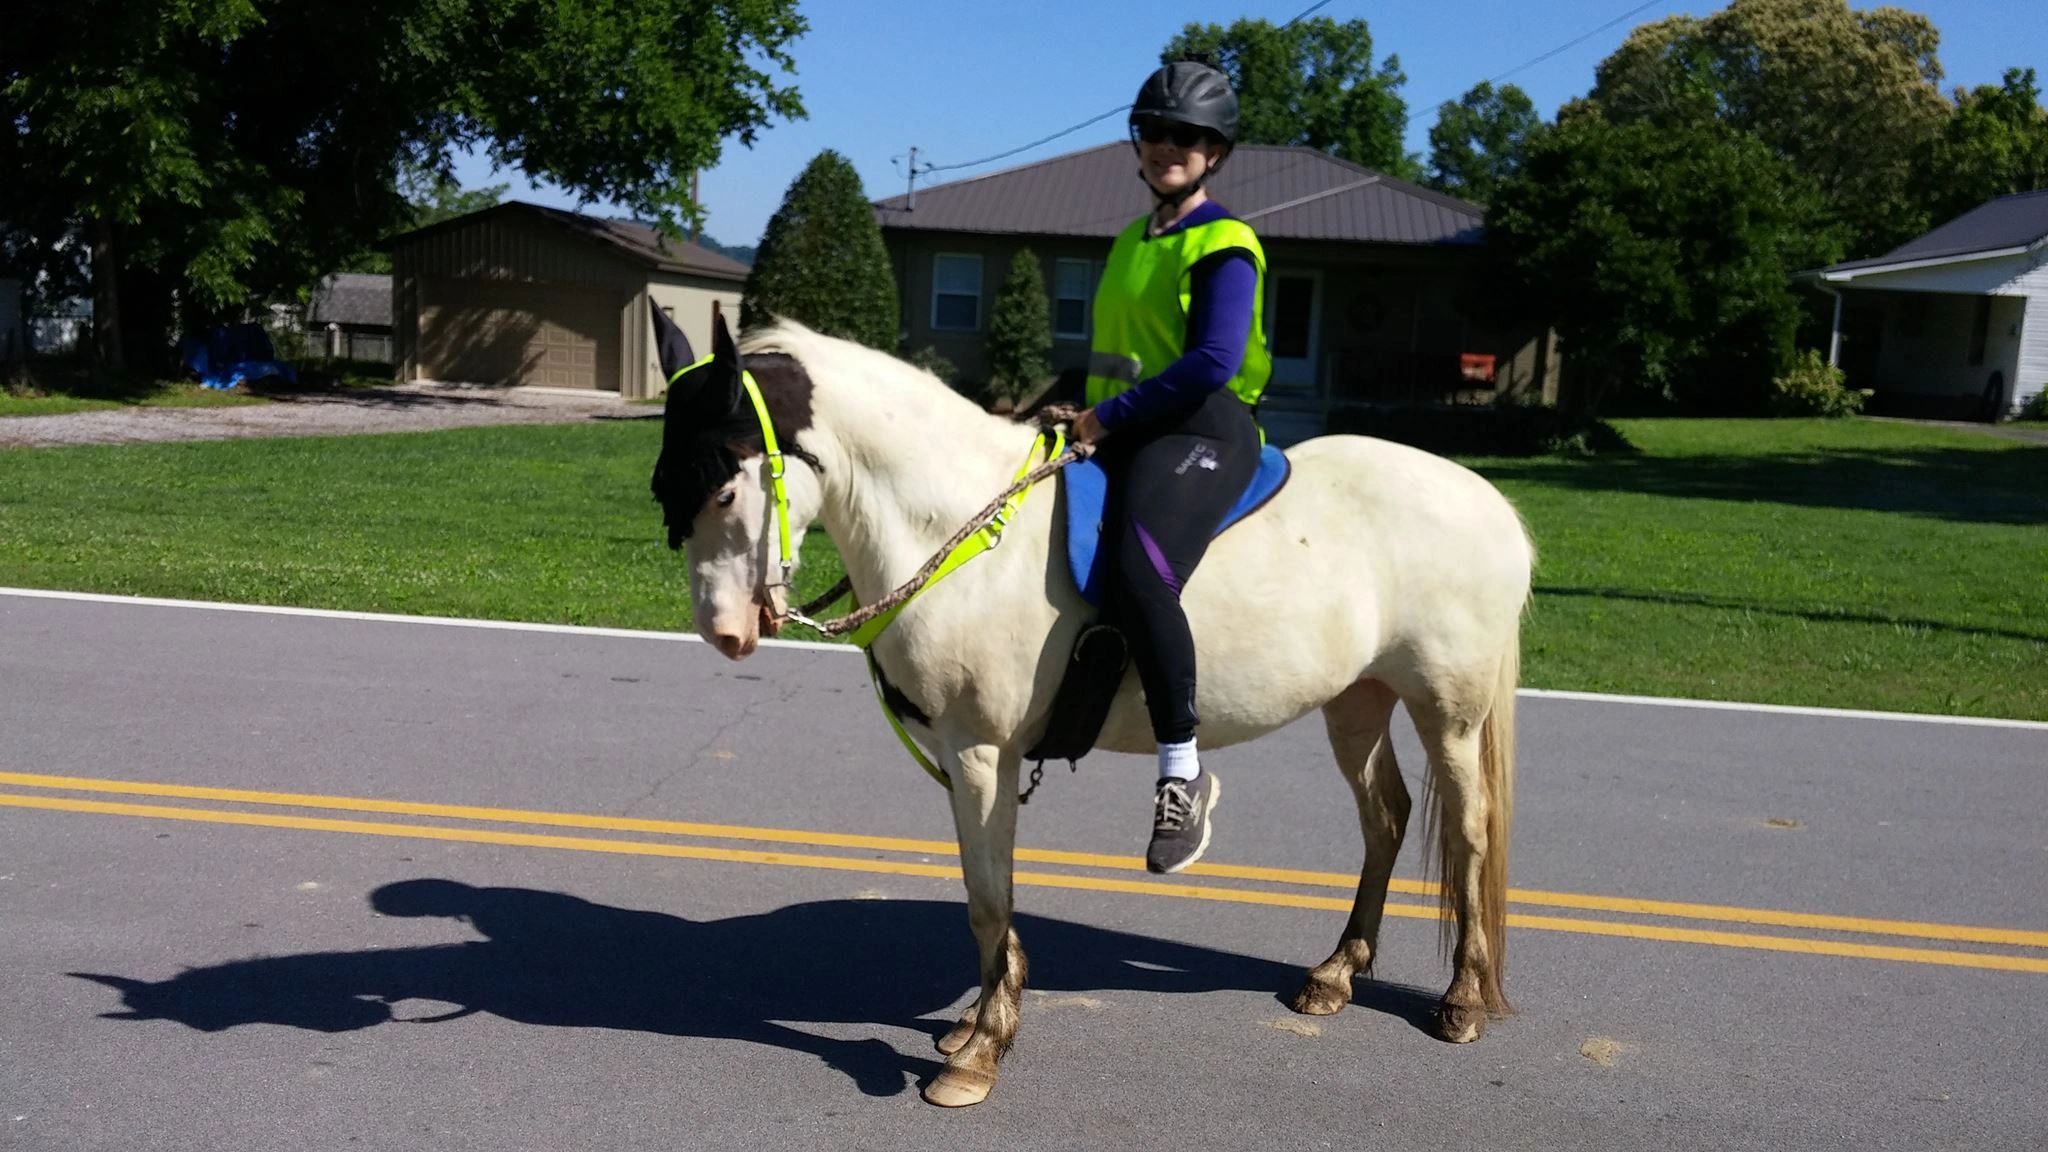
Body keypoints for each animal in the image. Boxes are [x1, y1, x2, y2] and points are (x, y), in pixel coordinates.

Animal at [651, 313, 1533, 1108]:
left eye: (724, 487)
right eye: (666, 494)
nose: (725, 632)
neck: (968, 533)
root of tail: (1492, 503)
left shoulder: (980, 752)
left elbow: (986, 901)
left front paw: (981, 1053)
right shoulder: (979, 763)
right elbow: (993, 894)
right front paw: (981, 1020)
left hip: (1448, 712)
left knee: (1469, 833)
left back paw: (1461, 999)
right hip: (1357, 702)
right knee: (1385, 817)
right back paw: (1338, 972)